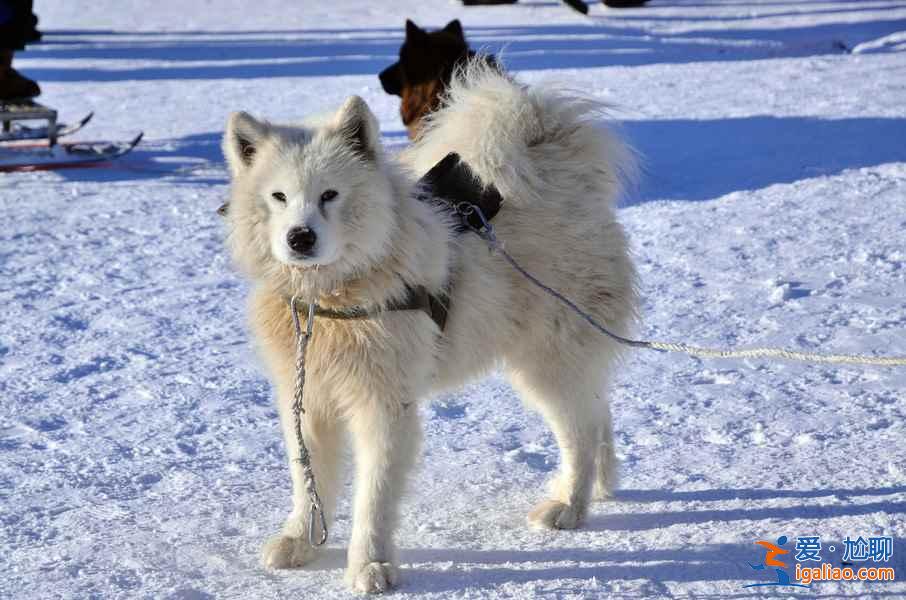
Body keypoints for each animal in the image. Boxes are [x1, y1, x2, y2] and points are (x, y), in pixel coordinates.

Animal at [223, 63, 640, 592]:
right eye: (278, 197)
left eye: (329, 195)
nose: (300, 238)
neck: (335, 296)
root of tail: (565, 175)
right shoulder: (308, 397)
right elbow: (308, 479)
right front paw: (301, 542)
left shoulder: (384, 404)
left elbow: (374, 496)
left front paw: (371, 566)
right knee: (598, 411)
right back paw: (599, 489)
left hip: (547, 362)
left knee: (581, 431)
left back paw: (568, 505)